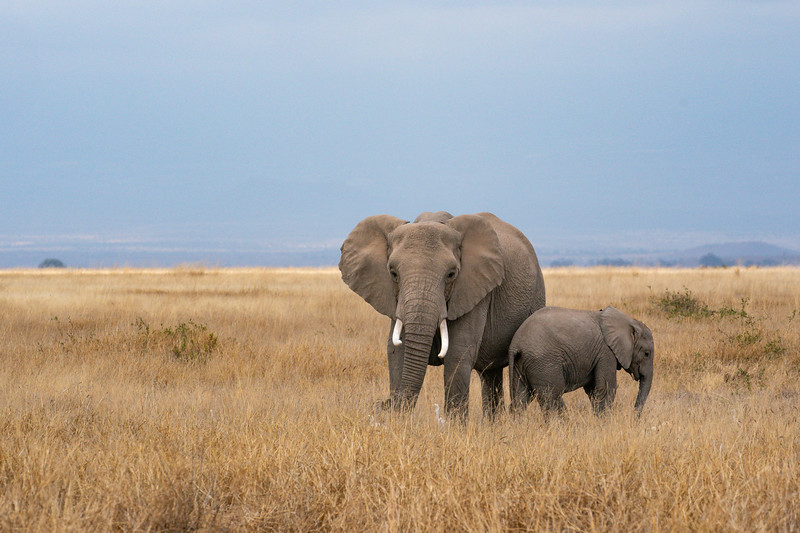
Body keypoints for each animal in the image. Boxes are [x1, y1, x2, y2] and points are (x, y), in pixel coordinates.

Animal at [339, 211, 545, 420]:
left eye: (451, 274)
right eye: (393, 273)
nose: (383, 404)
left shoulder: (475, 291)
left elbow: (458, 352)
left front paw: (454, 426)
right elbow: (397, 351)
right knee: (490, 373)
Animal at [508, 306, 654, 416]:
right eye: (646, 354)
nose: (634, 418)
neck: (628, 322)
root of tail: (516, 344)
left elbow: (593, 389)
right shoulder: (606, 352)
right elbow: (606, 388)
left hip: (521, 364)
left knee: (521, 397)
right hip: (543, 362)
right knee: (552, 396)